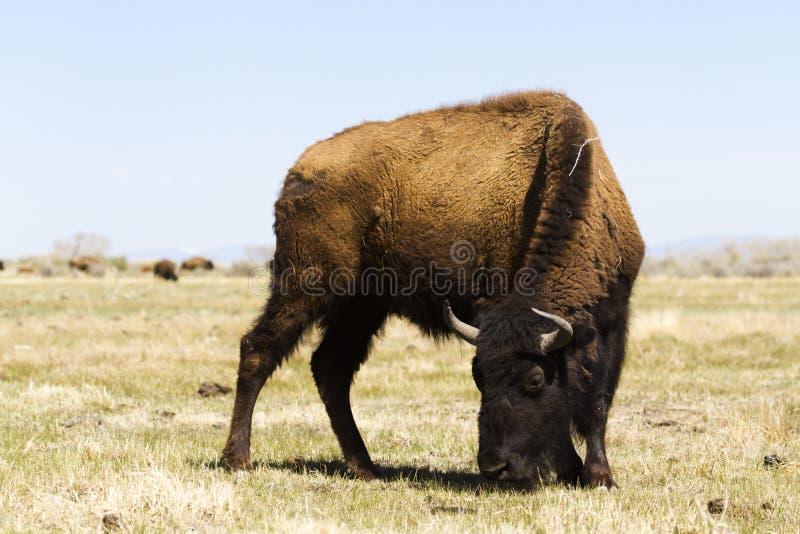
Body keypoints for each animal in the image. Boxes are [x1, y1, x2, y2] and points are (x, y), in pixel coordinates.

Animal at [222, 91, 644, 488]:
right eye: (478, 378)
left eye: (535, 380)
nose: (494, 467)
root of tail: (298, 174)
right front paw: (580, 472)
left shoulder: (613, 321)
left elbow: (597, 400)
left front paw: (596, 476)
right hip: (307, 286)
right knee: (259, 349)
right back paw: (238, 460)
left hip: (362, 307)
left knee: (330, 368)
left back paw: (365, 467)